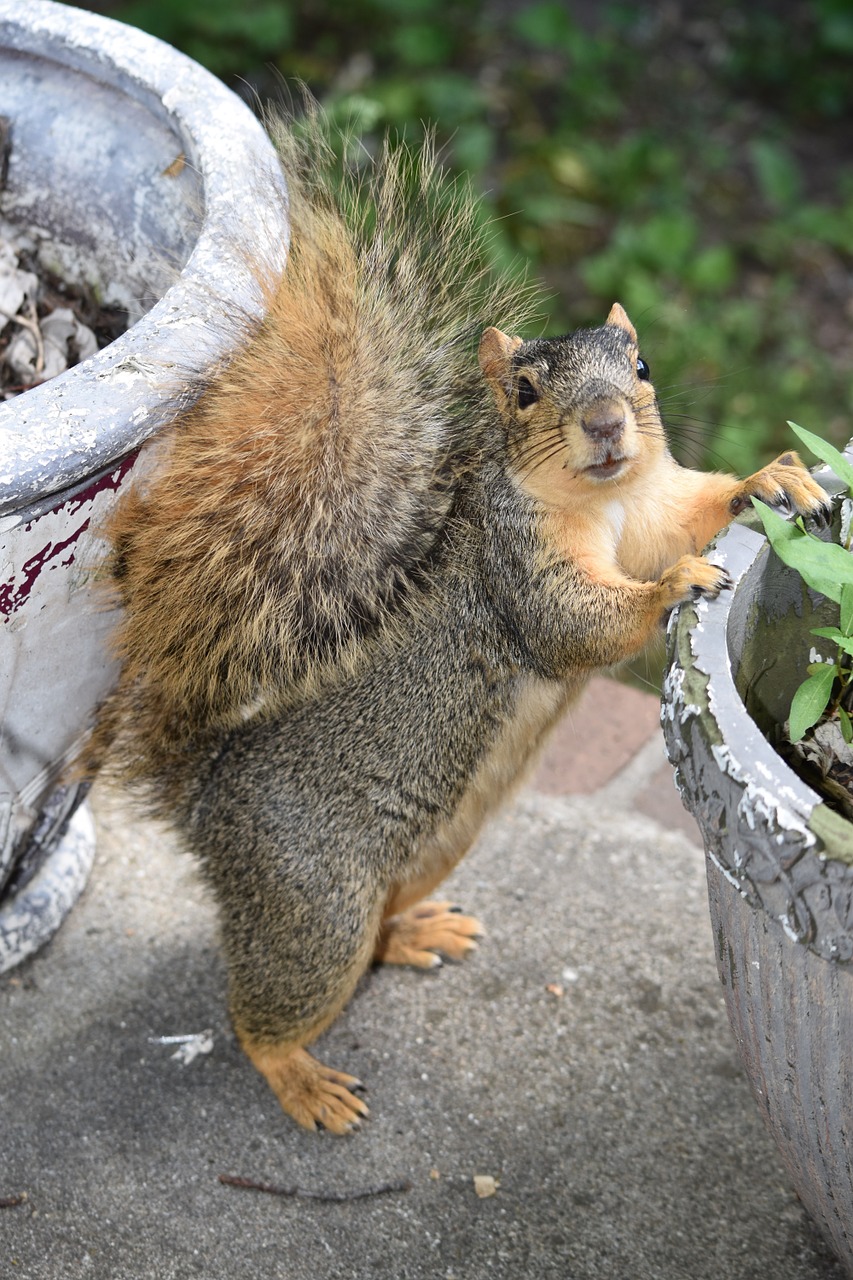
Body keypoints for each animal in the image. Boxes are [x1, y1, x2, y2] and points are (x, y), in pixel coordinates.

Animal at [87, 104, 829, 1136]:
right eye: (522, 392)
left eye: (639, 366)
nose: (607, 423)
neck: (607, 501)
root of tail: (206, 805)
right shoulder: (515, 567)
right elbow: (574, 623)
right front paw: (671, 590)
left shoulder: (653, 509)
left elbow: (698, 512)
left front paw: (772, 478)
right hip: (313, 900)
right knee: (262, 1011)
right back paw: (303, 1079)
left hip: (432, 846)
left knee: (374, 932)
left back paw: (411, 936)